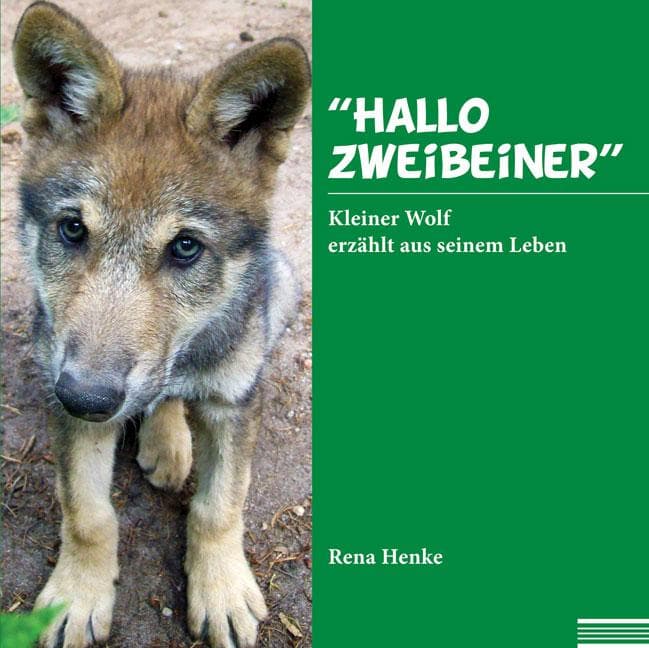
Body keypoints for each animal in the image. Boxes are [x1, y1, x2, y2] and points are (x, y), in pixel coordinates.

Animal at [12, 2, 310, 646]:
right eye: (72, 229)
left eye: (186, 248)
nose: (86, 397)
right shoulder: (66, 405)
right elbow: (88, 515)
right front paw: (77, 593)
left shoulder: (235, 401)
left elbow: (220, 506)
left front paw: (221, 588)